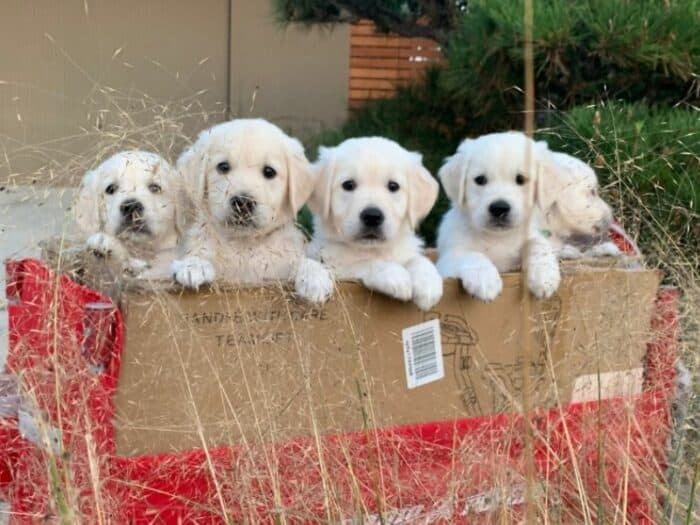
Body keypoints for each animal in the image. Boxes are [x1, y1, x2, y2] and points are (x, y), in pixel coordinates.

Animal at [171, 116, 332, 300]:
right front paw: (193, 266)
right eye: (223, 167)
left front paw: (316, 277)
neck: (244, 246)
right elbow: (197, 253)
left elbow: (302, 261)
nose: (243, 202)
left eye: (269, 171)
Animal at [308, 136, 442, 312]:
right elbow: (367, 262)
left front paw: (429, 285)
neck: (374, 249)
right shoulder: (337, 266)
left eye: (393, 186)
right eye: (348, 185)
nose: (372, 216)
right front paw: (395, 275)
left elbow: (418, 260)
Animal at [438, 131, 556, 300]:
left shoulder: (529, 237)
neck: (498, 237)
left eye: (521, 179)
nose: (499, 208)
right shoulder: (447, 260)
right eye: (480, 179)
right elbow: (471, 255)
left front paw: (545, 277)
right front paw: (484, 280)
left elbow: (538, 244)